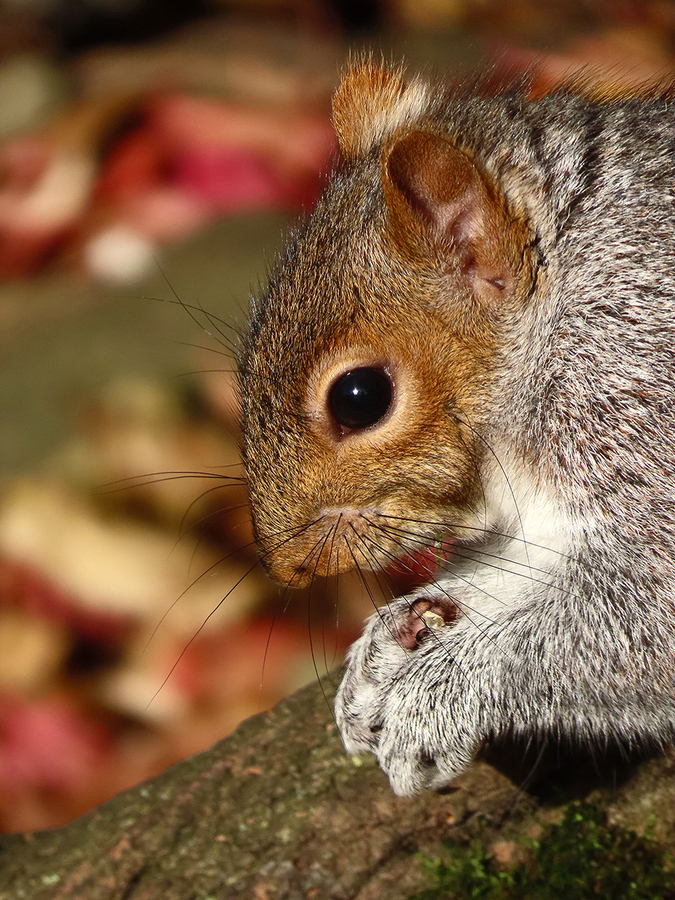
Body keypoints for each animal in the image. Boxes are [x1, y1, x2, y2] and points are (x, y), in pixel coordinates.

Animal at [238, 59, 675, 796]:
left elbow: (645, 614)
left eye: (360, 398)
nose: (287, 566)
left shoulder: (635, 398)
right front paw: (384, 645)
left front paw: (438, 695)